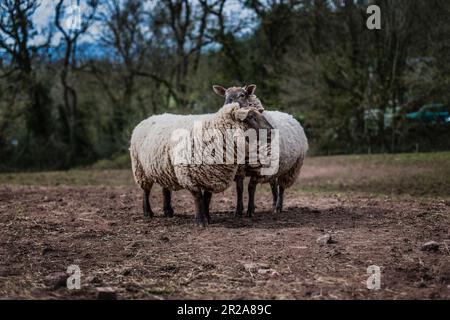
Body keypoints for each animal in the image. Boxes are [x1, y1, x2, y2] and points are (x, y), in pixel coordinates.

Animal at [128, 101, 272, 226]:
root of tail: (148, 118)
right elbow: (198, 198)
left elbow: (207, 198)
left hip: (164, 168)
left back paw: (168, 211)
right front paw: (200, 221)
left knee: (165, 190)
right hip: (140, 168)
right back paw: (148, 212)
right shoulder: (189, 176)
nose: (271, 131)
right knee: (146, 191)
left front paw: (208, 218)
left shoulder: (212, 175)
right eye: (251, 117)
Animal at [213, 84, 308, 216]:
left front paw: (249, 211)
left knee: (281, 187)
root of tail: (290, 116)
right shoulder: (239, 169)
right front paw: (238, 211)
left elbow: (251, 188)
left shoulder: (258, 168)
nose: (227, 106)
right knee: (273, 185)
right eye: (225, 95)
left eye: (242, 95)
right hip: (275, 168)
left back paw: (278, 207)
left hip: (290, 169)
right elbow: (239, 189)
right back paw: (273, 205)